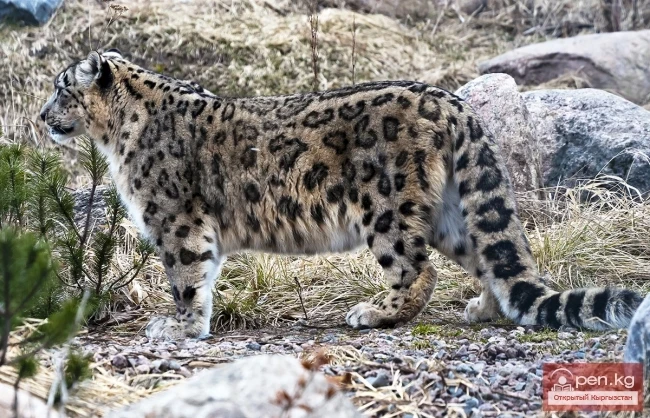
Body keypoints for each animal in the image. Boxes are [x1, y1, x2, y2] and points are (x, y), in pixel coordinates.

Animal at [40, 49, 644, 340]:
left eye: (62, 88)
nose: (42, 118)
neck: (117, 137)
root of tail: (452, 101)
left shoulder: (177, 220)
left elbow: (187, 276)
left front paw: (179, 325)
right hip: (450, 212)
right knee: (493, 259)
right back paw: (482, 308)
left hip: (387, 208)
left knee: (417, 270)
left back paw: (375, 313)